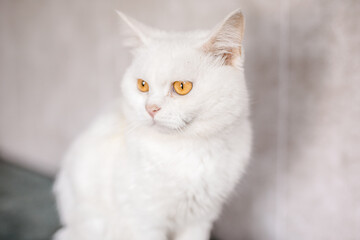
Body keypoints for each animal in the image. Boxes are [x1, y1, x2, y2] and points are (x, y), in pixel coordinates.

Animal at [53, 8, 252, 240]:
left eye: (182, 86)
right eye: (142, 85)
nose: (151, 108)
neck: (187, 151)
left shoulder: (201, 219)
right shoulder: (144, 221)